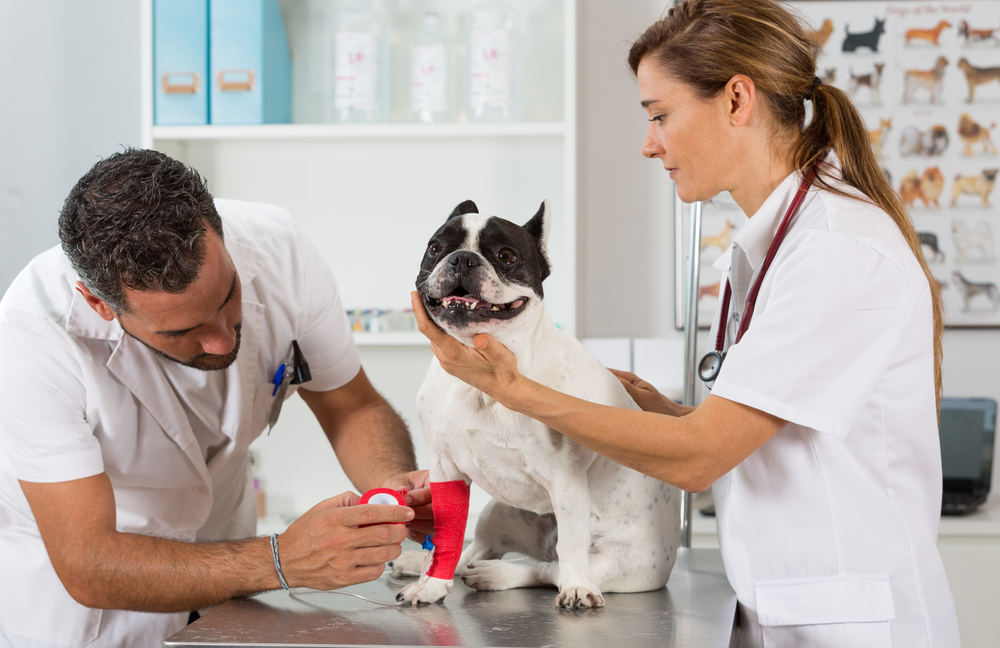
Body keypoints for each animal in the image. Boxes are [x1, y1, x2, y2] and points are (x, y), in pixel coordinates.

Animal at [394, 201, 684, 608]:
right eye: (435, 248)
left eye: (505, 255)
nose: (462, 259)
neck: (478, 388)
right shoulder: (444, 469)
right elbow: (448, 535)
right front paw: (431, 583)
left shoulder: (567, 482)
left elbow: (572, 547)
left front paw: (577, 588)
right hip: (497, 510)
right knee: (476, 549)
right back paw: (427, 564)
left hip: (621, 563)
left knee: (549, 569)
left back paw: (505, 575)